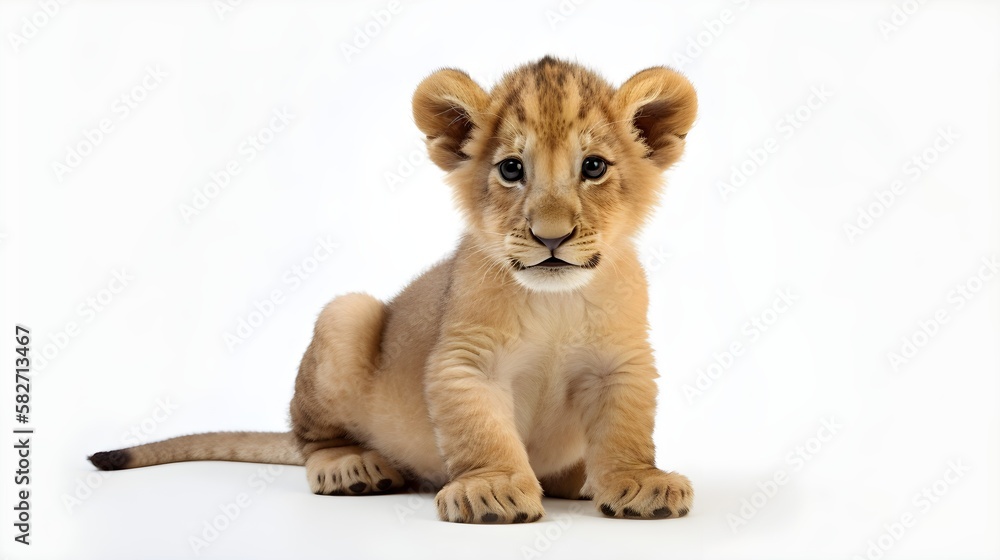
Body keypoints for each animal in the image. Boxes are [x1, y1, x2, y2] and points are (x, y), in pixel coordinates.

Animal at [89, 56, 699, 524]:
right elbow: (481, 431)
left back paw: (581, 480)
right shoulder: (464, 361)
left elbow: (625, 428)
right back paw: (352, 468)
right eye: (511, 169)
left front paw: (640, 482)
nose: (552, 237)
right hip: (345, 316)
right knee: (311, 438)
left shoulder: (623, 361)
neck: (556, 302)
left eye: (593, 167)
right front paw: (491, 488)